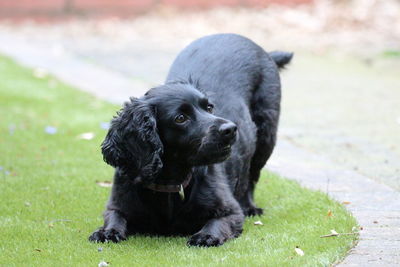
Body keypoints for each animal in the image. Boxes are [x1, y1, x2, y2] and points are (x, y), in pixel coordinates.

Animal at [89, 34, 292, 248]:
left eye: (209, 107)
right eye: (180, 118)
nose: (230, 129)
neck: (169, 183)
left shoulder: (230, 212)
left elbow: (217, 222)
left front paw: (206, 235)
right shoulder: (117, 203)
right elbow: (115, 217)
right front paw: (107, 232)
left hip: (265, 137)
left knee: (251, 177)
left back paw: (251, 207)